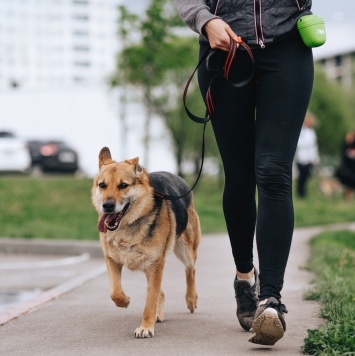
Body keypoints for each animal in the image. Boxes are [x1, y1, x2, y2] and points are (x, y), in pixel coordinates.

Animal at [92, 147, 202, 340]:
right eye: (102, 185)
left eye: (123, 185)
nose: (107, 206)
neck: (127, 227)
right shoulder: (112, 260)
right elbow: (115, 292)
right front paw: (125, 301)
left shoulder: (156, 263)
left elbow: (150, 299)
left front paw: (146, 327)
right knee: (161, 291)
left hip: (185, 251)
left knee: (190, 270)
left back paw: (191, 299)